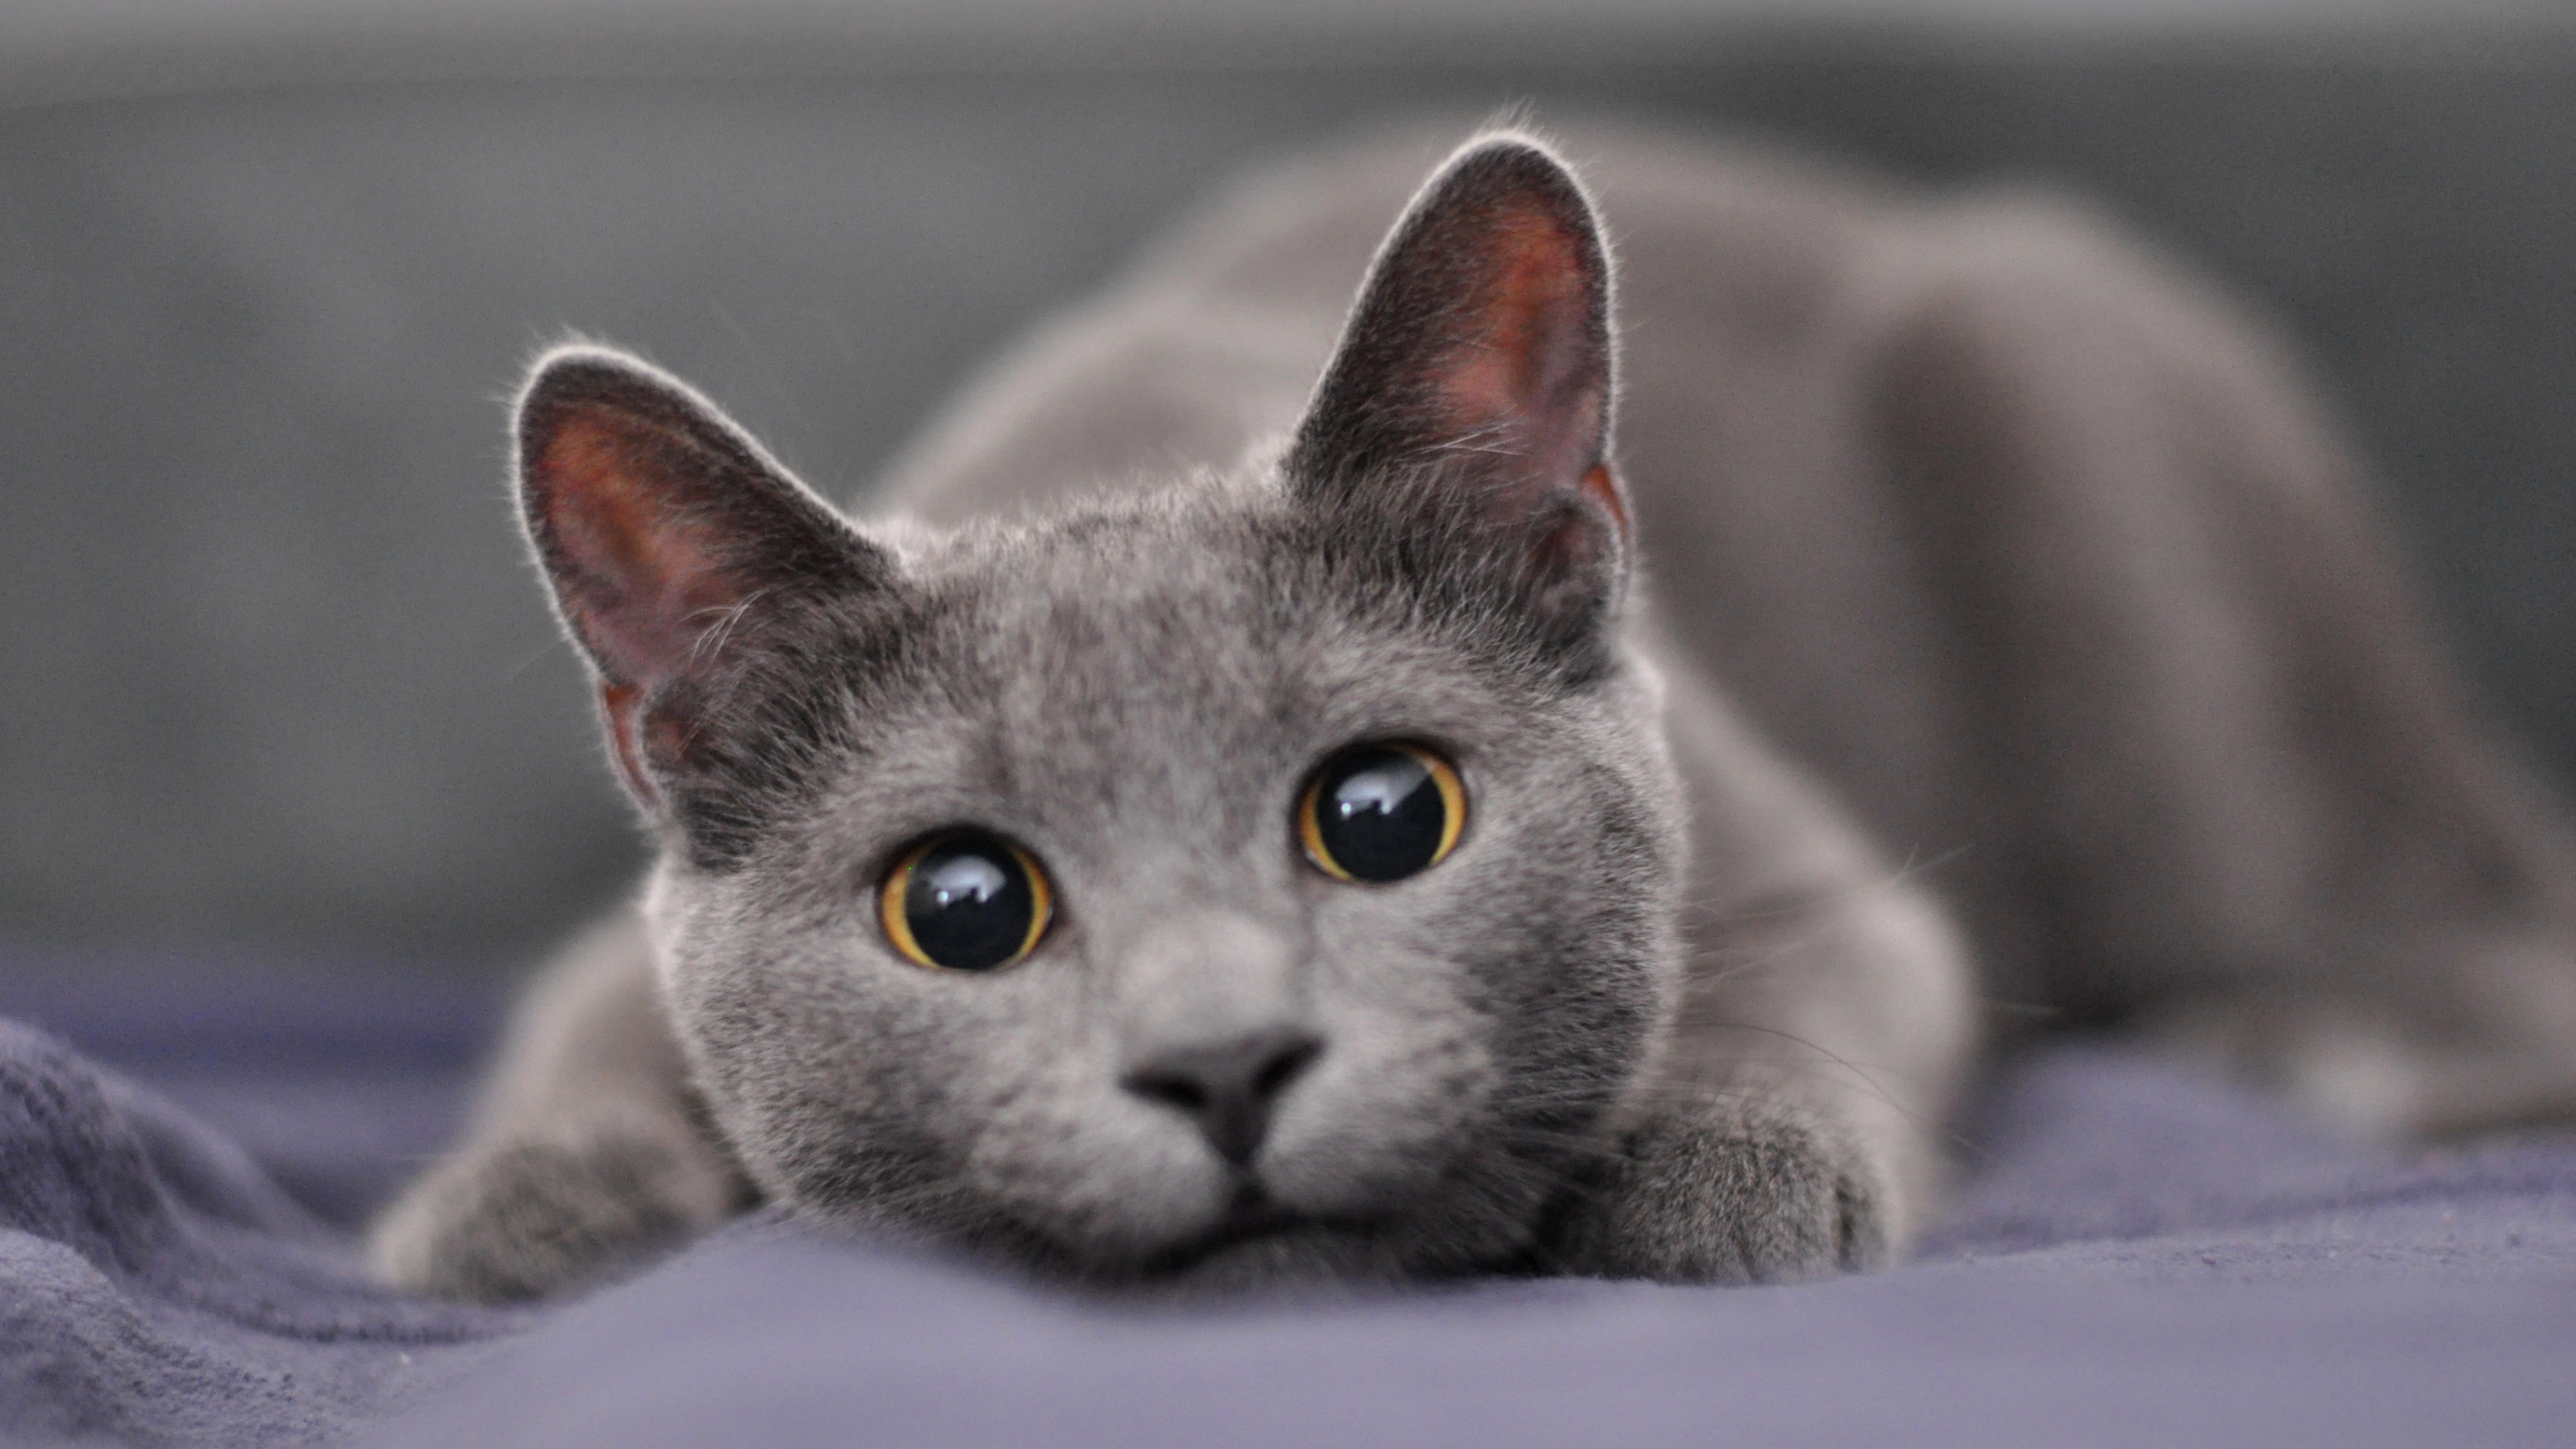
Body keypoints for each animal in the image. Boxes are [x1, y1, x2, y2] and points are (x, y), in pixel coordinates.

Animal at [373, 127, 2576, 1299]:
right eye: (963, 908)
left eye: (1382, 818)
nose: (1224, 1060)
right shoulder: (618, 943)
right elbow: (582, 1027)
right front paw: (509, 1214)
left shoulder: (1815, 863)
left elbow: (1827, 981)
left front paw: (1719, 1175)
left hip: (2081, 454)